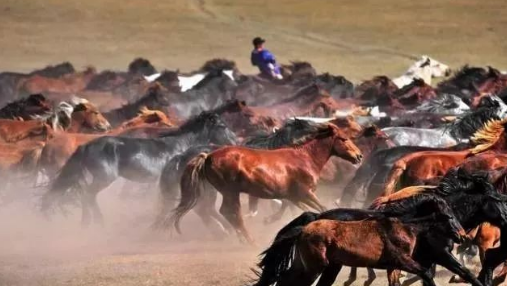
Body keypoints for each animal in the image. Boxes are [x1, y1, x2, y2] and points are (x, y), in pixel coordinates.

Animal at [39, 111, 238, 226]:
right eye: (222, 126)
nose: (236, 141)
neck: (181, 146)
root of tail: (86, 146)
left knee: (84, 196)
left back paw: (86, 223)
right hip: (104, 178)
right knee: (88, 195)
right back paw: (98, 222)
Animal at [173, 123, 364, 244]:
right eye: (344, 139)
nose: (359, 156)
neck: (304, 158)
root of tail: (208, 157)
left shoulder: (293, 196)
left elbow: (298, 210)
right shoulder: (305, 193)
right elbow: (322, 208)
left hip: (229, 193)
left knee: (225, 213)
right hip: (231, 192)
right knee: (230, 212)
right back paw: (248, 240)